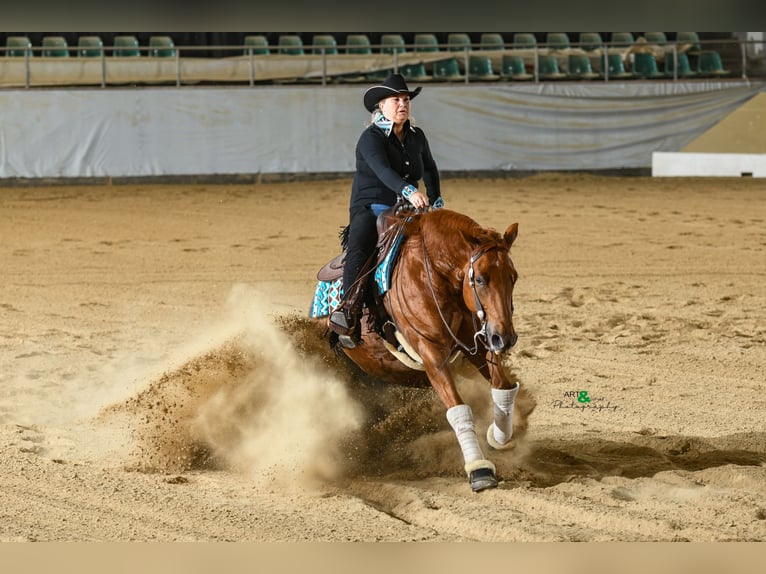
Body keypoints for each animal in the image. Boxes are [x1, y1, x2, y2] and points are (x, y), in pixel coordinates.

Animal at [312, 209, 528, 492]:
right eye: (480, 279)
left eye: (513, 277)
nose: (505, 337)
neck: (435, 277)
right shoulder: (432, 354)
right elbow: (458, 408)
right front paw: (479, 469)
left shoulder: (477, 346)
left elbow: (503, 388)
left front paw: (499, 436)